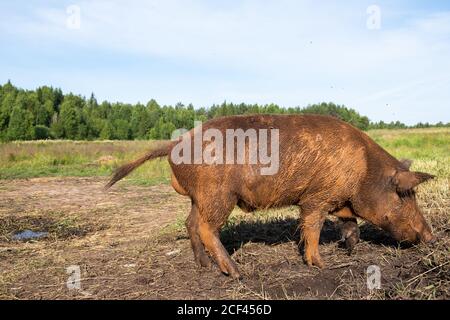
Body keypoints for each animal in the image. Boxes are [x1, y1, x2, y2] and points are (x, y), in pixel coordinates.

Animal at [105, 114, 436, 278]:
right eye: (405, 194)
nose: (431, 236)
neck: (365, 171)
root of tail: (174, 144)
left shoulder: (337, 198)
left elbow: (349, 221)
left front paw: (351, 249)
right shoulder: (316, 198)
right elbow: (312, 228)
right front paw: (321, 265)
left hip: (200, 198)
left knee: (190, 223)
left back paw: (204, 266)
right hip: (218, 194)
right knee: (206, 228)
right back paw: (236, 273)